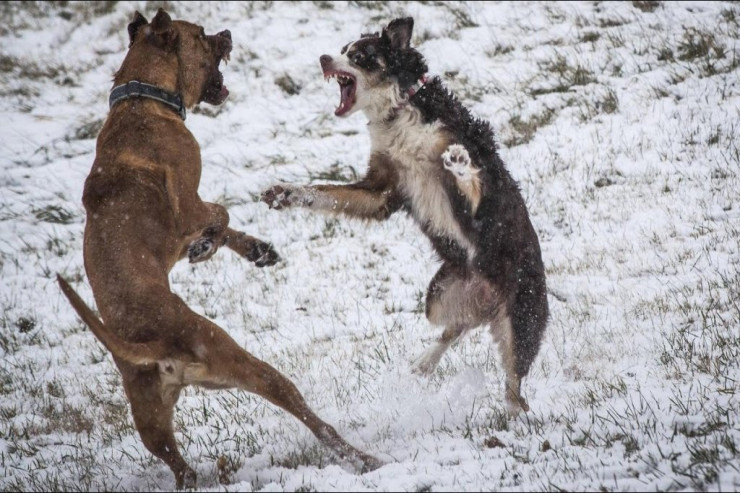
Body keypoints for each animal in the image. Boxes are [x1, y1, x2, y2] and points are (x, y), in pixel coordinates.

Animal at [57, 8, 378, 488]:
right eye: (200, 34)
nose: (226, 32)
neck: (141, 99)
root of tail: (156, 348)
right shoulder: (188, 204)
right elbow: (220, 215)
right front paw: (209, 245)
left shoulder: (185, 225)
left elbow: (222, 226)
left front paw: (253, 249)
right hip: (242, 363)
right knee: (301, 407)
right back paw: (361, 457)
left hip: (151, 418)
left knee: (176, 464)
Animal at [264, 17, 548, 414]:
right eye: (342, 48)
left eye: (360, 55)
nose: (323, 58)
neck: (399, 110)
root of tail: (491, 301)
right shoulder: (382, 191)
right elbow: (326, 193)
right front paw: (285, 193)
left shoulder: (473, 169)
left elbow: (472, 178)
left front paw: (459, 162)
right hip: (440, 298)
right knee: (456, 327)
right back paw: (425, 363)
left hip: (522, 322)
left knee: (514, 385)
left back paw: (512, 416)